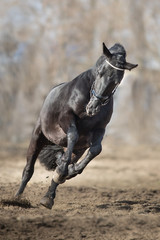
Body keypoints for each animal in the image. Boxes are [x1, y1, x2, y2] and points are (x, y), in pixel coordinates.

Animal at [15, 42, 138, 208]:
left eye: (117, 81)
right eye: (100, 72)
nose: (93, 108)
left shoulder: (99, 130)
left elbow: (96, 149)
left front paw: (69, 171)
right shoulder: (66, 119)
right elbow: (73, 135)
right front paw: (63, 171)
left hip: (78, 149)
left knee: (64, 158)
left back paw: (49, 196)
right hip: (38, 137)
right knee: (28, 170)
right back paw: (17, 199)